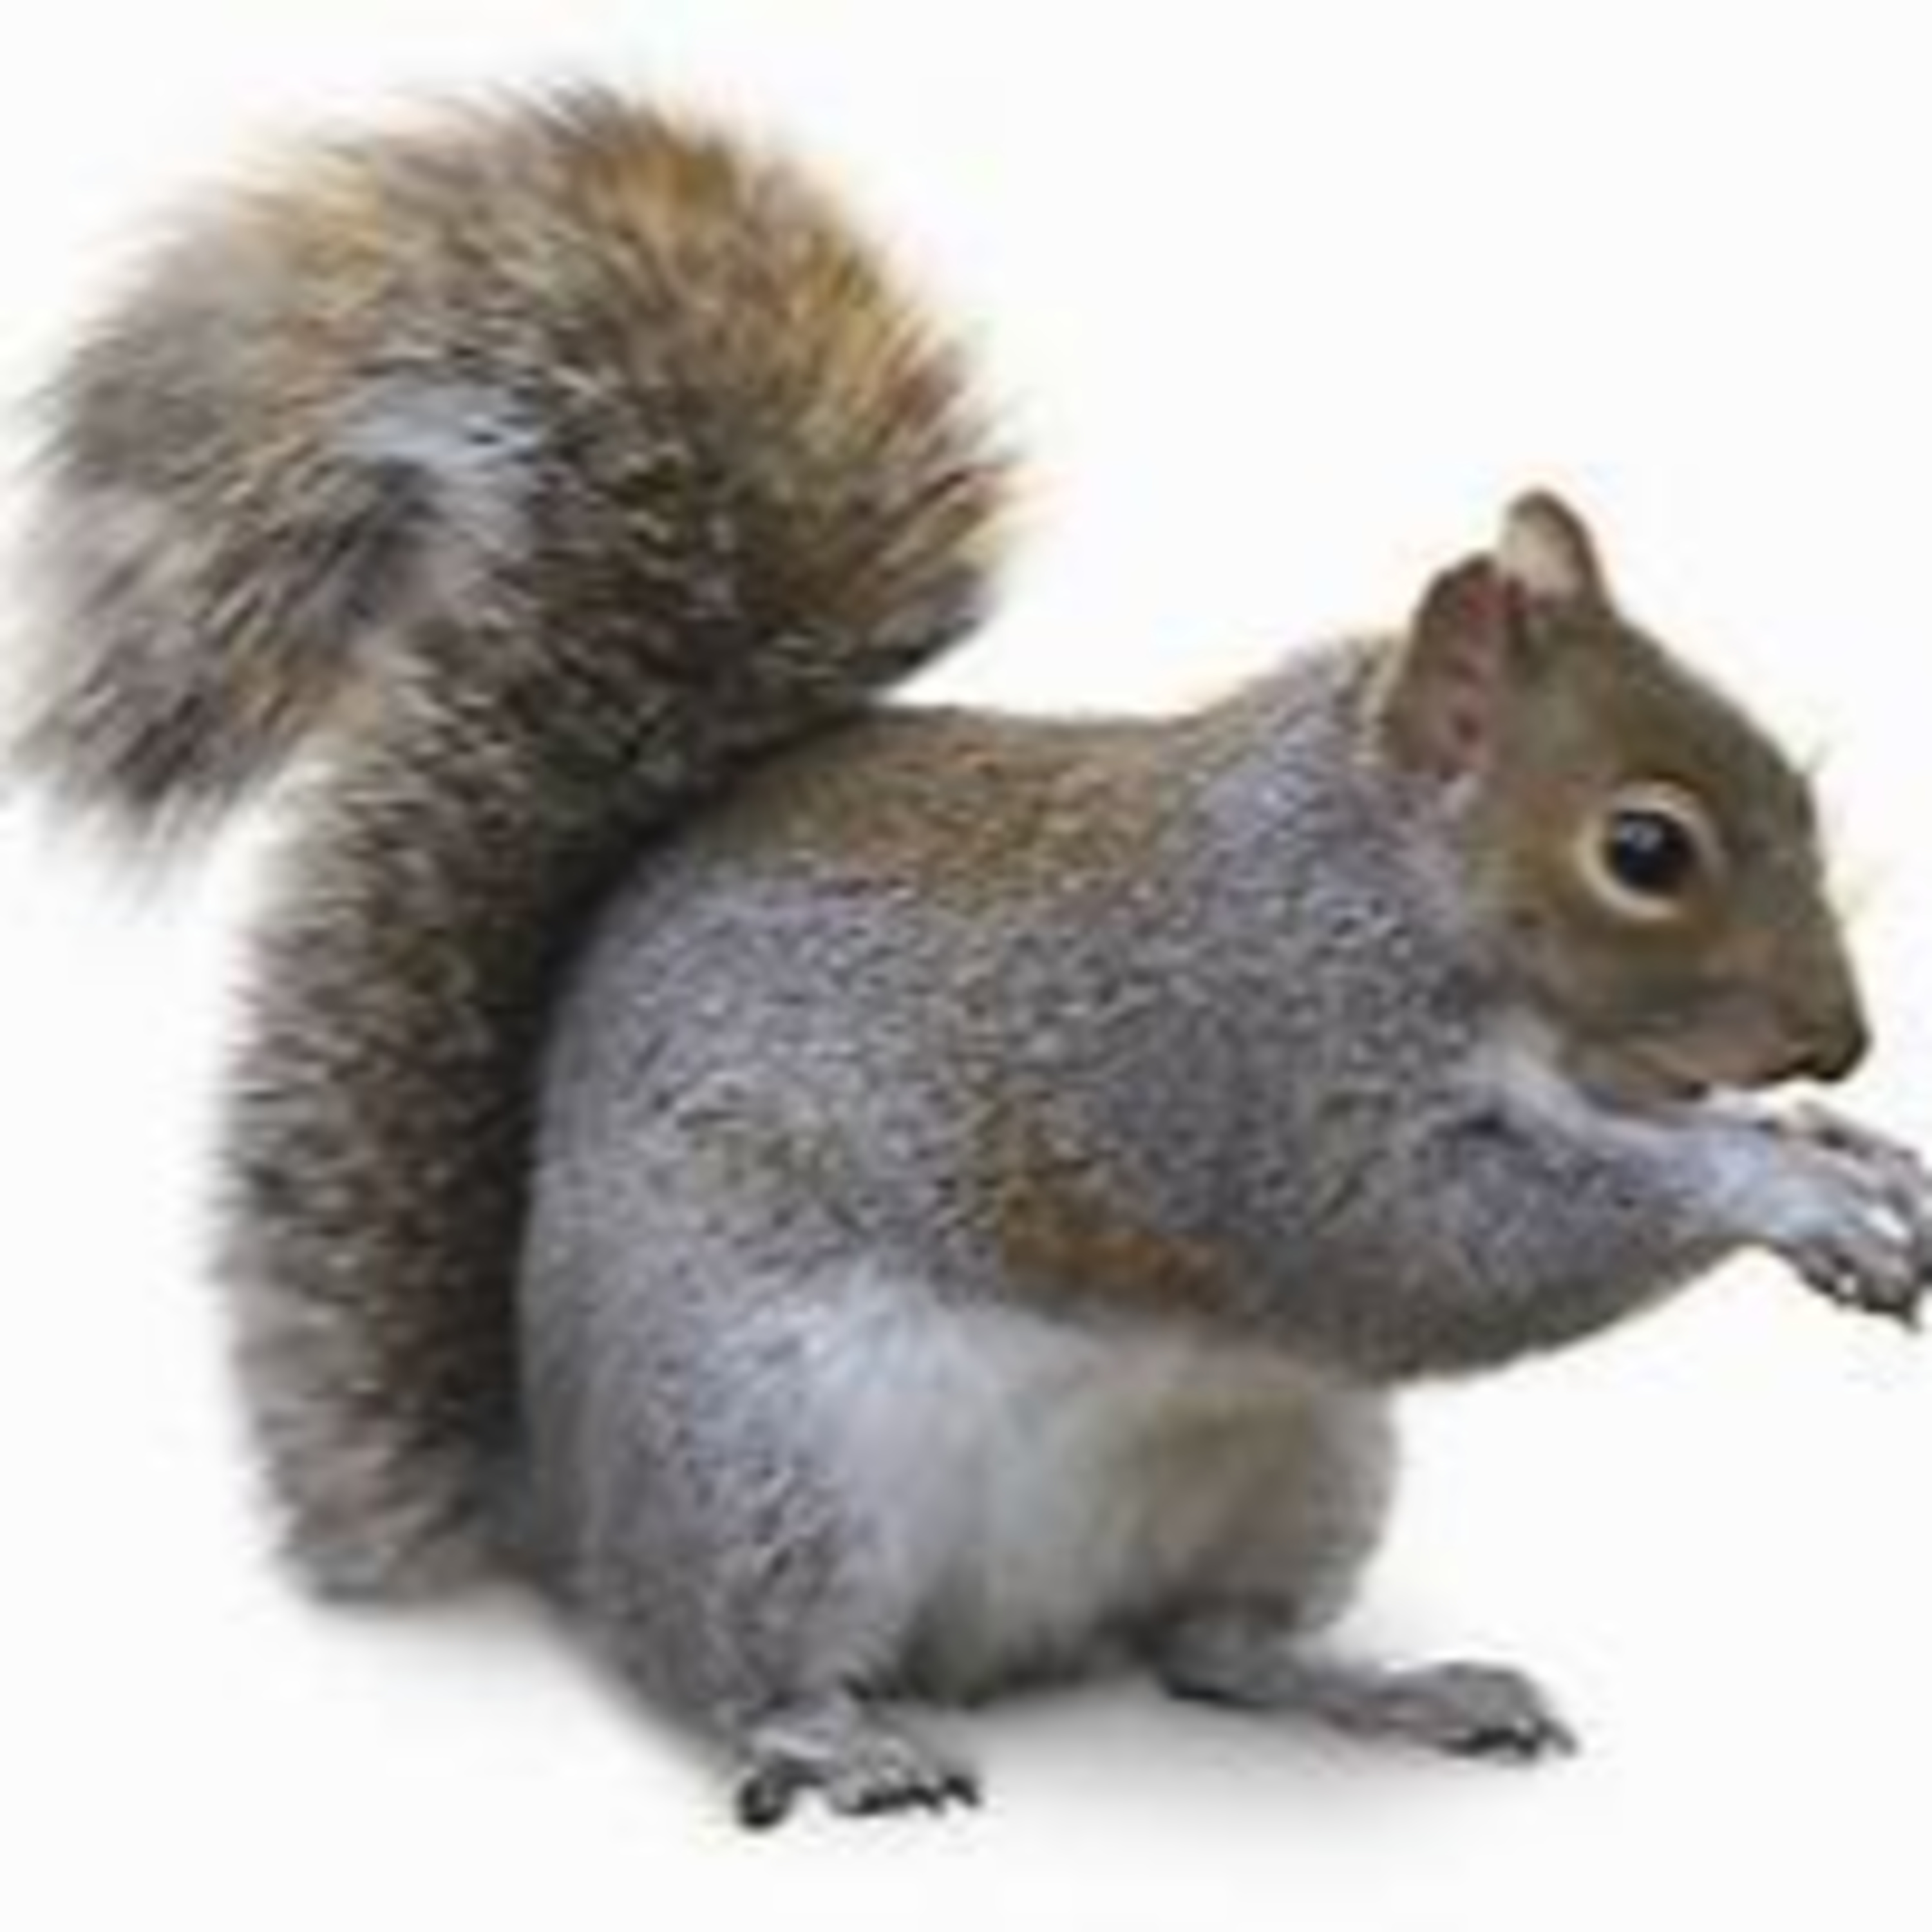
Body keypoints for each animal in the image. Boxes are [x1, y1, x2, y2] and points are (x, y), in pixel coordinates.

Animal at [14, 88, 1932, 1828]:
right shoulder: (1234, 1055)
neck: (1374, 879)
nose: (1838, 1046)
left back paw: (1389, 1688)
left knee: (1208, 1647)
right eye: (1644, 850)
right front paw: (1780, 1186)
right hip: (775, 1458)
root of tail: (560, 1502)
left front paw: (1850, 1155)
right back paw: (831, 1738)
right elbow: (1424, 1245)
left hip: (1299, 1462)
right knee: (719, 1666)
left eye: (1788, 780)